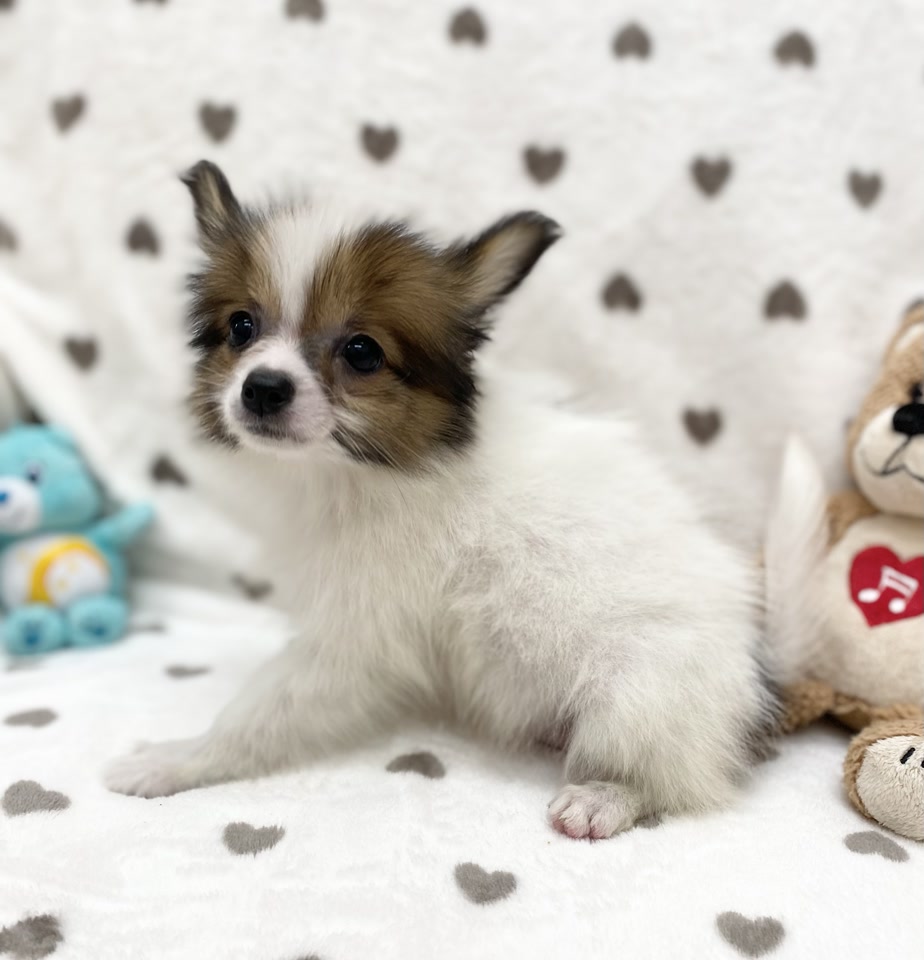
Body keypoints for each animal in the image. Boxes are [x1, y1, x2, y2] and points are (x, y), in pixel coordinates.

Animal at [105, 161, 776, 839]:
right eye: (241, 327)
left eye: (362, 352)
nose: (262, 387)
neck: (352, 473)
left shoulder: (357, 638)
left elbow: (261, 710)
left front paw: (174, 759)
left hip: (640, 696)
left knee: (674, 779)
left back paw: (602, 799)